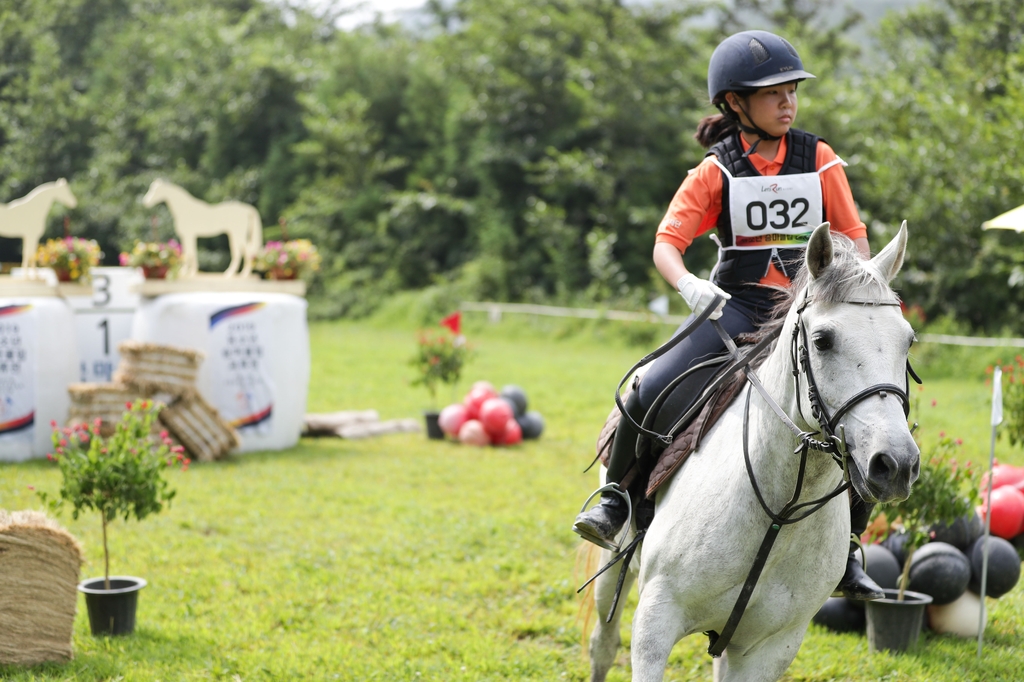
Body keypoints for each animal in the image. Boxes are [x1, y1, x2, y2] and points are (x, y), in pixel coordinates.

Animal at [585, 220, 921, 675]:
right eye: (822, 340)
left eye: (908, 341)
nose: (896, 464)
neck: (780, 510)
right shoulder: (655, 622)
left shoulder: (770, 646)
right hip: (613, 564)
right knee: (603, 644)